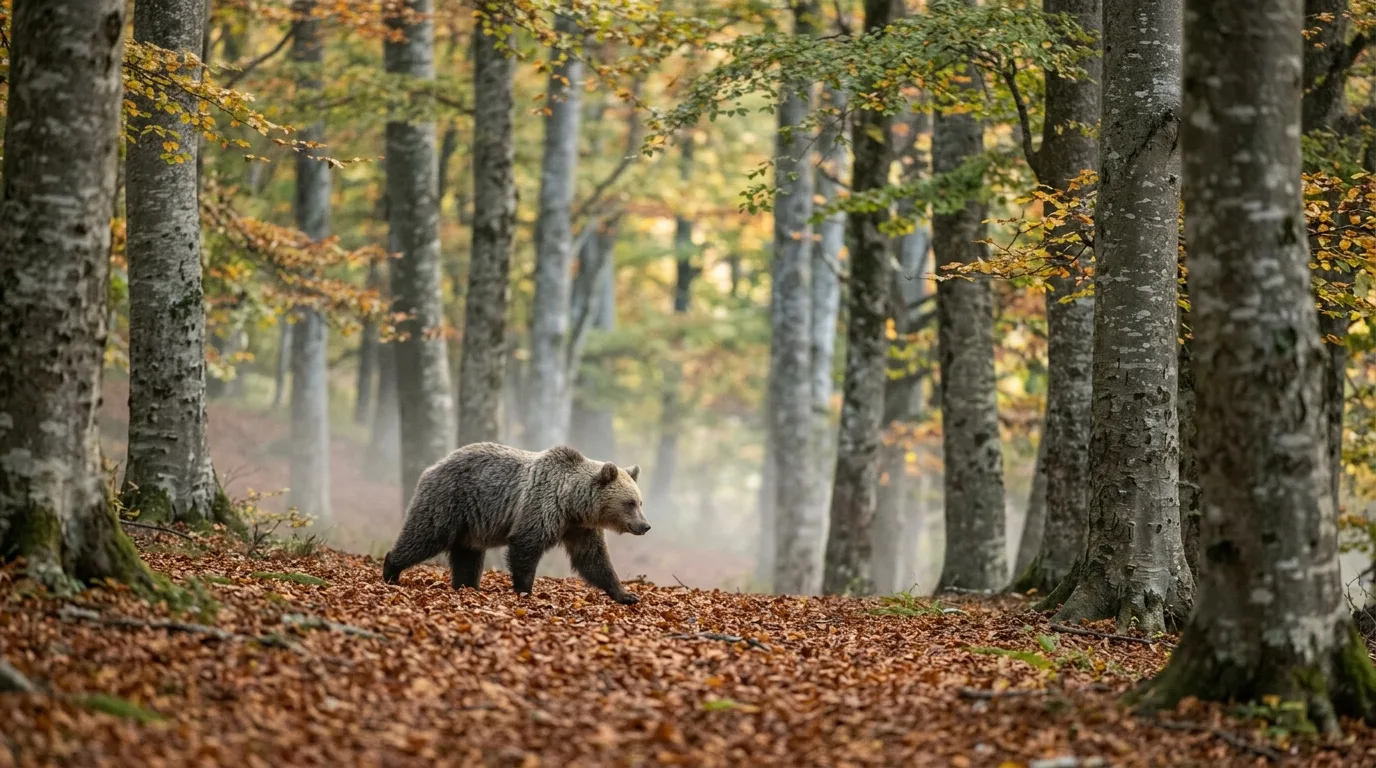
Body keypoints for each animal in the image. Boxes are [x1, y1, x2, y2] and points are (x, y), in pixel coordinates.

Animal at [380, 442, 650, 605]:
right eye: (629, 503)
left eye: (640, 502)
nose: (645, 526)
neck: (571, 503)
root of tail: (434, 465)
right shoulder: (541, 507)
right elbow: (525, 547)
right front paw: (525, 590)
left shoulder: (578, 528)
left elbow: (593, 559)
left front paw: (626, 594)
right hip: (449, 500)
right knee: (426, 535)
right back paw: (391, 570)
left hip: (471, 524)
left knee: (467, 556)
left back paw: (467, 585)